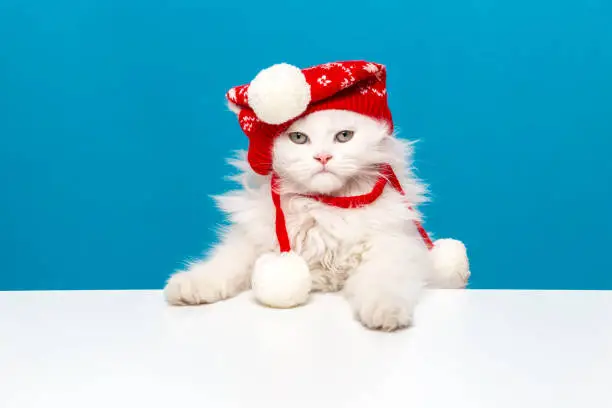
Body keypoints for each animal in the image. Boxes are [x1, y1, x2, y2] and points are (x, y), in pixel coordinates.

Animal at [165, 109, 462, 332]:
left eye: (344, 136)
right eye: (298, 137)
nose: (322, 157)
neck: (323, 206)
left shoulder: (390, 247)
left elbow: (382, 284)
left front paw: (386, 313)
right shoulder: (251, 242)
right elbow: (222, 266)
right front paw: (187, 286)